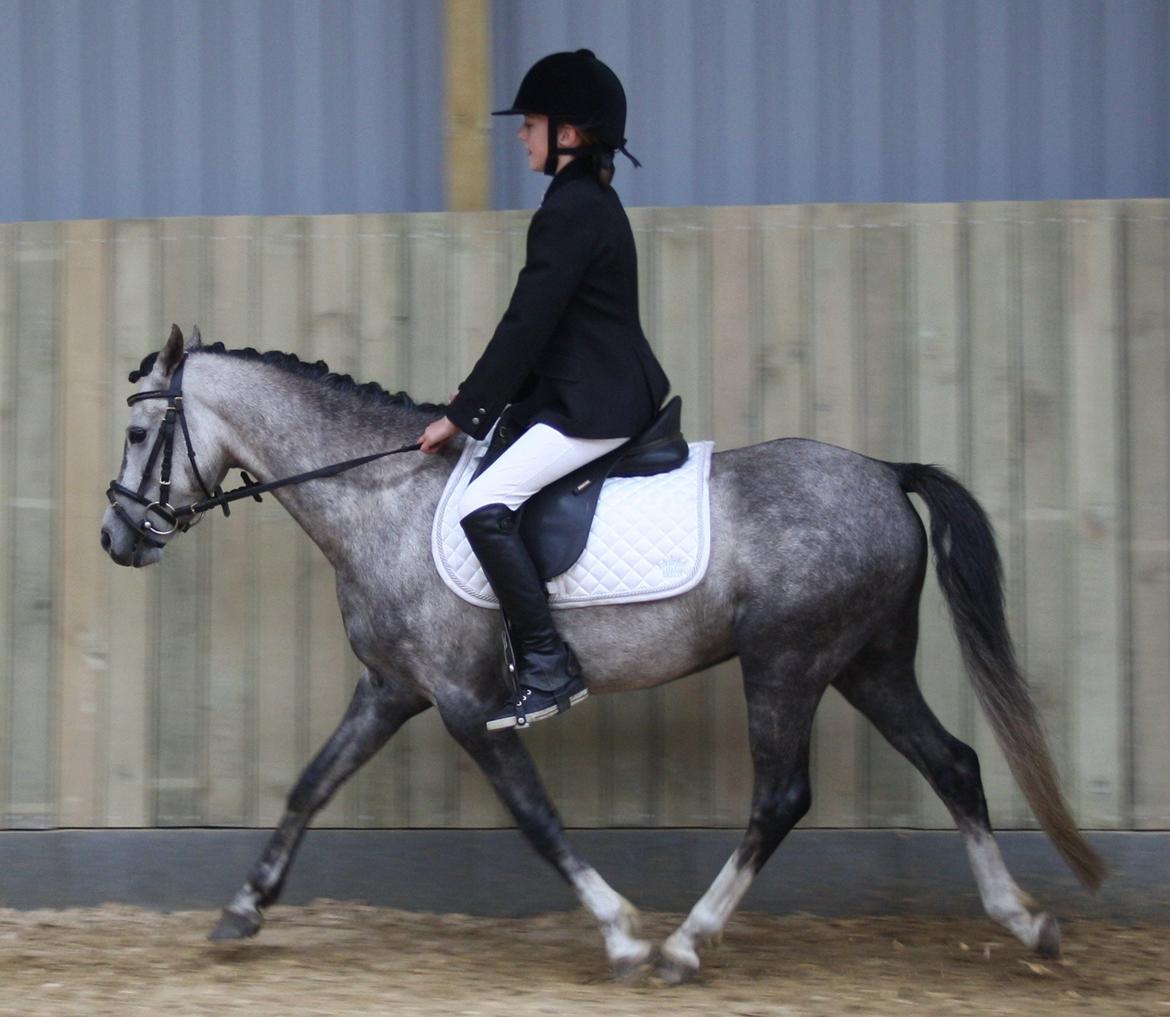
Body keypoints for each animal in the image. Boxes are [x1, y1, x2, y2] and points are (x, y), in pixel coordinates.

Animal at [101, 325, 1105, 982]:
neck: (382, 495)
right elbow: (310, 785)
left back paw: (685, 944)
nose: (116, 539)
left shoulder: (467, 702)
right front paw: (244, 907)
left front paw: (622, 933)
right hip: (869, 664)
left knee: (781, 796)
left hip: (787, 663)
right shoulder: (390, 687)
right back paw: (1026, 923)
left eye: (141, 433)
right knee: (956, 763)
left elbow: (537, 817)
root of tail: (888, 475)